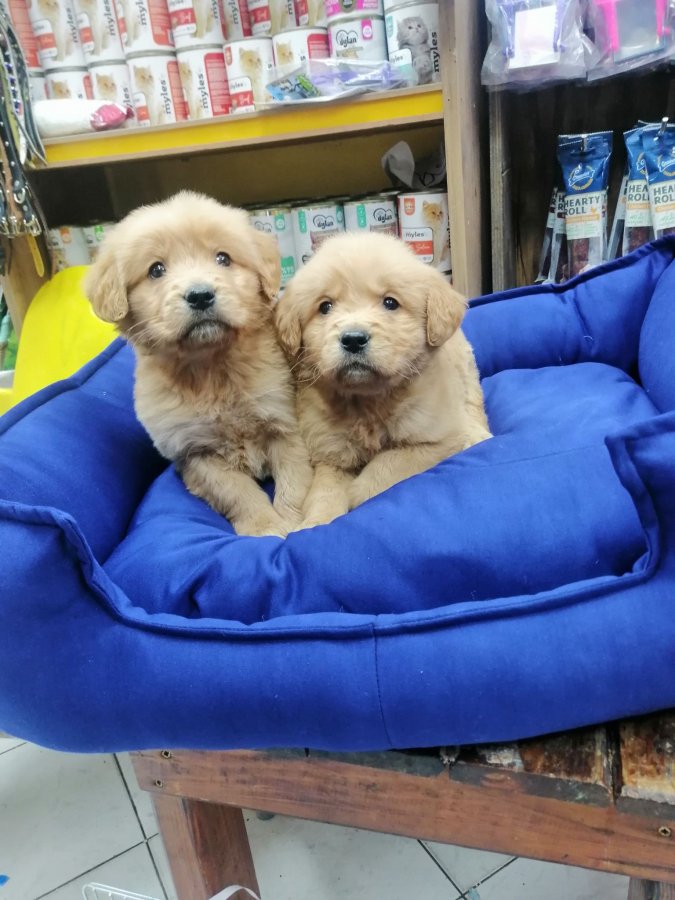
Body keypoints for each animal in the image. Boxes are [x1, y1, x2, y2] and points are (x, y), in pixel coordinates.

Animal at [83, 191, 313, 537]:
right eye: (156, 270)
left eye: (223, 258)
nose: (201, 295)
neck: (211, 368)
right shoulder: (195, 453)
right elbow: (238, 492)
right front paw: (264, 527)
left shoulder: (284, 424)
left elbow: (293, 482)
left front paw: (292, 524)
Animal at [275, 232, 491, 528]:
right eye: (325, 306)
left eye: (390, 302)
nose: (353, 339)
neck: (367, 403)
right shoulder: (331, 453)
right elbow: (324, 492)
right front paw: (317, 523)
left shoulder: (435, 440)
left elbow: (386, 466)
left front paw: (356, 494)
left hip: (467, 375)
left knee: (474, 408)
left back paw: (478, 434)